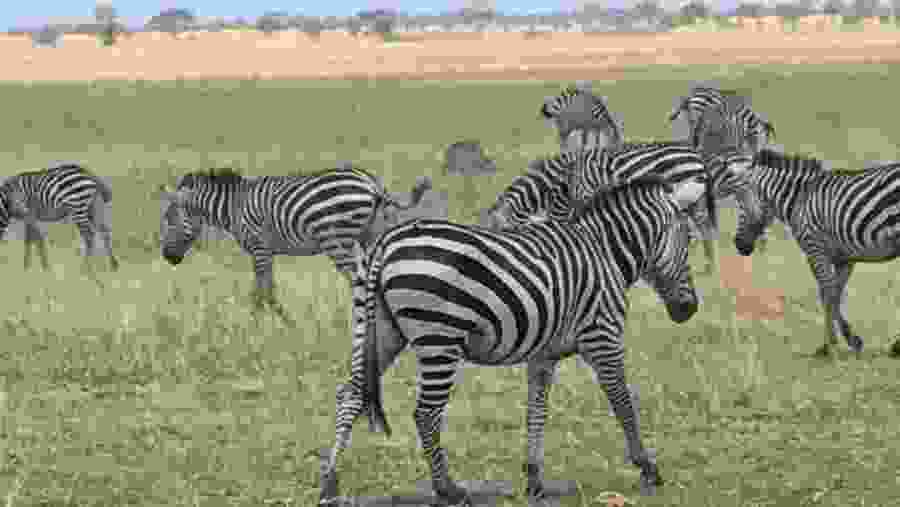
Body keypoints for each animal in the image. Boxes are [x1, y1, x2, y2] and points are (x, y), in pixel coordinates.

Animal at [159, 165, 431, 326]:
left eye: (169, 219)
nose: (167, 258)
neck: (233, 207)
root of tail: (372, 184)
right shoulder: (268, 251)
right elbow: (268, 288)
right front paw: (278, 322)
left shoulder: (259, 247)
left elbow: (262, 291)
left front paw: (258, 325)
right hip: (372, 235)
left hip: (335, 240)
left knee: (358, 280)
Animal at [320, 177, 710, 506]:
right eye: (689, 240)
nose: (688, 310)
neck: (605, 252)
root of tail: (386, 243)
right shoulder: (603, 336)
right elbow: (623, 402)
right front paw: (647, 468)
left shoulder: (543, 354)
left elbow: (537, 410)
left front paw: (534, 480)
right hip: (440, 339)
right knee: (426, 413)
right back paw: (448, 490)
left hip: (380, 331)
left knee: (350, 393)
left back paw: (329, 482)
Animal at [730, 149, 900, 357]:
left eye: (739, 201)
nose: (738, 244)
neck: (798, 199)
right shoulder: (844, 258)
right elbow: (835, 294)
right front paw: (846, 340)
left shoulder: (815, 249)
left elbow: (827, 294)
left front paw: (832, 345)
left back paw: (896, 346)